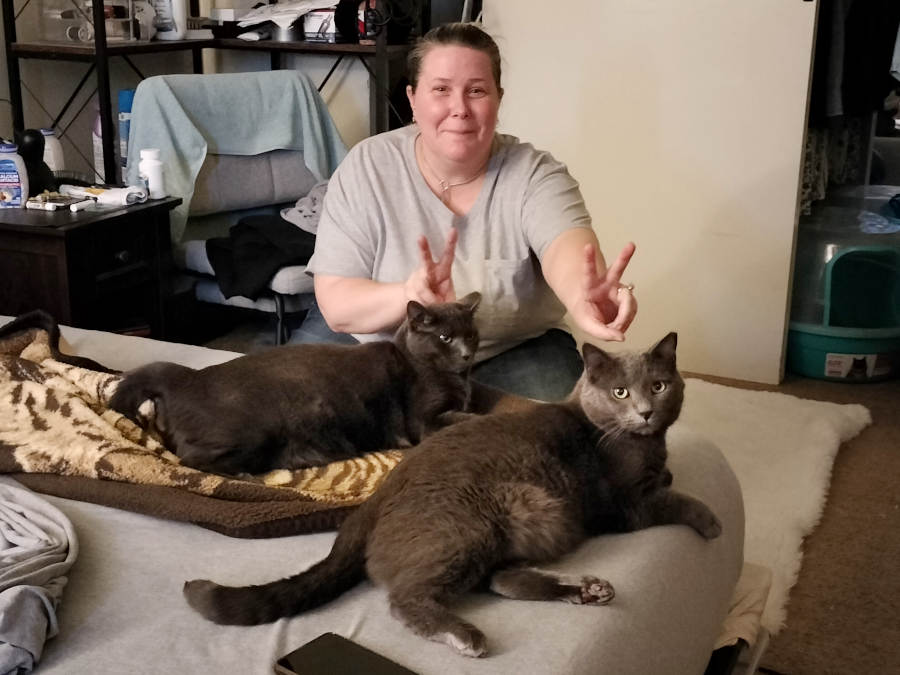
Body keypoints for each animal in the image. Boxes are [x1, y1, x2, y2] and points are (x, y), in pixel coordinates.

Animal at [109, 293, 481, 475]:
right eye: (445, 338)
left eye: (472, 335)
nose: (466, 354)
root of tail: (188, 376)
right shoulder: (425, 420)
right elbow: (466, 419)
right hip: (253, 428)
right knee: (187, 459)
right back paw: (242, 476)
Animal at [183, 332, 722, 657]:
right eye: (620, 393)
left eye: (659, 385)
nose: (646, 412)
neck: (638, 442)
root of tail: (371, 504)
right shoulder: (626, 502)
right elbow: (675, 500)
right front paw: (712, 521)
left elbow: (668, 480)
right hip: (469, 526)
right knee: (407, 596)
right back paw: (466, 636)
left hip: (536, 517)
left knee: (501, 580)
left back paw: (587, 589)